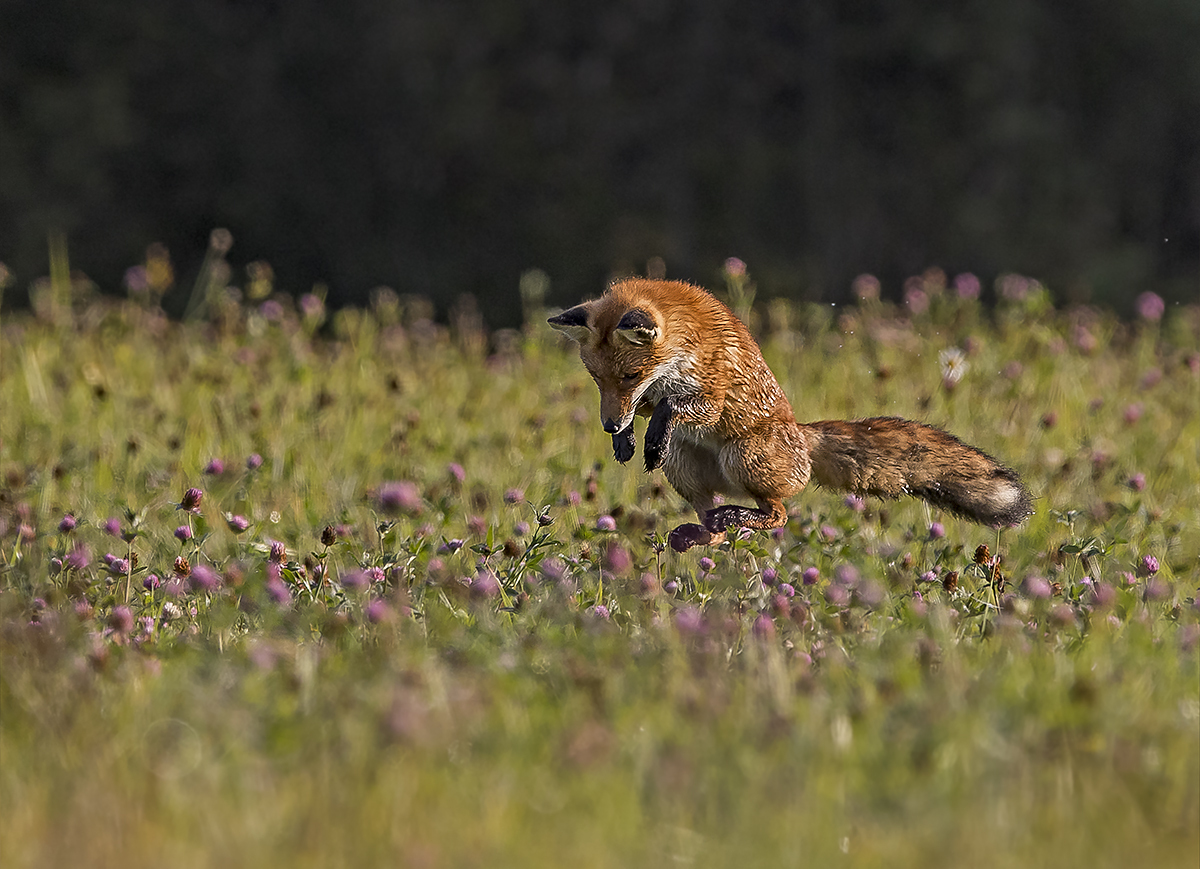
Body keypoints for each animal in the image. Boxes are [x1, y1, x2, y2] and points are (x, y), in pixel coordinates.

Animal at [552, 274, 1032, 552]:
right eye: (597, 379)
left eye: (630, 375)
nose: (609, 425)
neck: (681, 348)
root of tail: (801, 435)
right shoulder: (646, 400)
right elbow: (650, 409)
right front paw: (626, 439)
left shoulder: (710, 395)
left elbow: (674, 409)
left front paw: (647, 435)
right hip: (684, 463)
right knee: (715, 526)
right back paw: (704, 530)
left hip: (742, 455)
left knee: (781, 513)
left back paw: (742, 515)